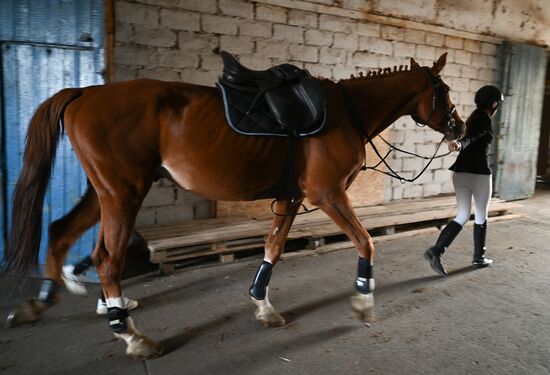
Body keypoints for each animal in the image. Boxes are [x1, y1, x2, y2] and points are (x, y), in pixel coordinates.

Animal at [4, 53, 464, 358]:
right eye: (442, 90)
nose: (459, 127)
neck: (345, 112)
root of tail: (85, 93)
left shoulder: (291, 196)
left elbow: (273, 248)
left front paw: (263, 306)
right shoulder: (328, 195)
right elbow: (365, 242)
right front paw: (363, 304)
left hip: (104, 193)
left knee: (61, 233)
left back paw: (43, 301)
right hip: (122, 193)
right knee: (107, 259)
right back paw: (132, 336)